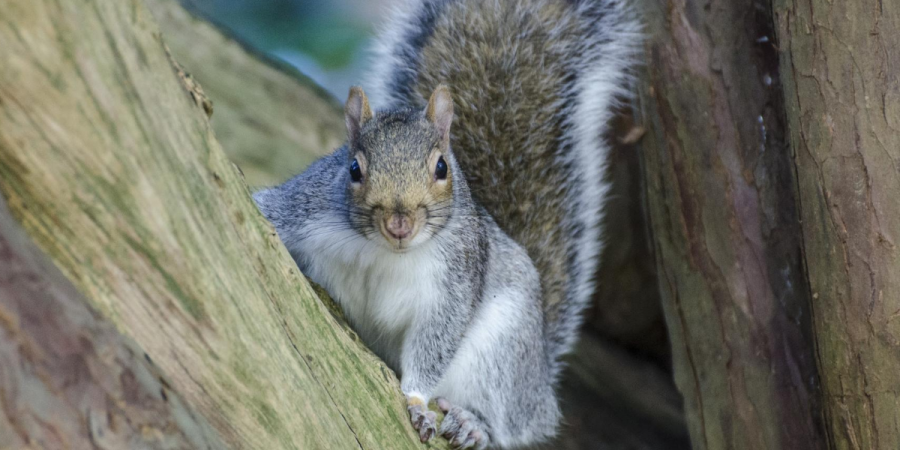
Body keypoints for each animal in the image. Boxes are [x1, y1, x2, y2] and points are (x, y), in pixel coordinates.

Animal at [253, 1, 640, 448]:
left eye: (441, 167)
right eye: (353, 169)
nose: (399, 223)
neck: (384, 252)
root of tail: (539, 379)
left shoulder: (452, 284)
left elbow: (435, 342)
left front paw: (415, 401)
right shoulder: (304, 207)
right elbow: (265, 208)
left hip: (503, 352)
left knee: (506, 423)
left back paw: (474, 423)